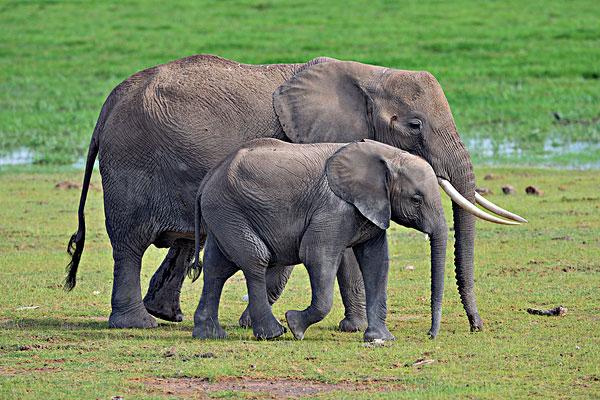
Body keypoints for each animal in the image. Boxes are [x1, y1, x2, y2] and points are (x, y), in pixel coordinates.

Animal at [192, 138, 446, 340]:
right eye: (416, 199)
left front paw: (381, 338)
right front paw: (295, 325)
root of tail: (207, 180)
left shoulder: (371, 209)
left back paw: (209, 335)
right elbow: (316, 255)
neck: (386, 154)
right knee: (255, 259)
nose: (430, 335)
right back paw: (273, 333)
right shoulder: (335, 208)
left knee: (217, 268)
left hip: (224, 215)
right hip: (228, 210)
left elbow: (376, 262)